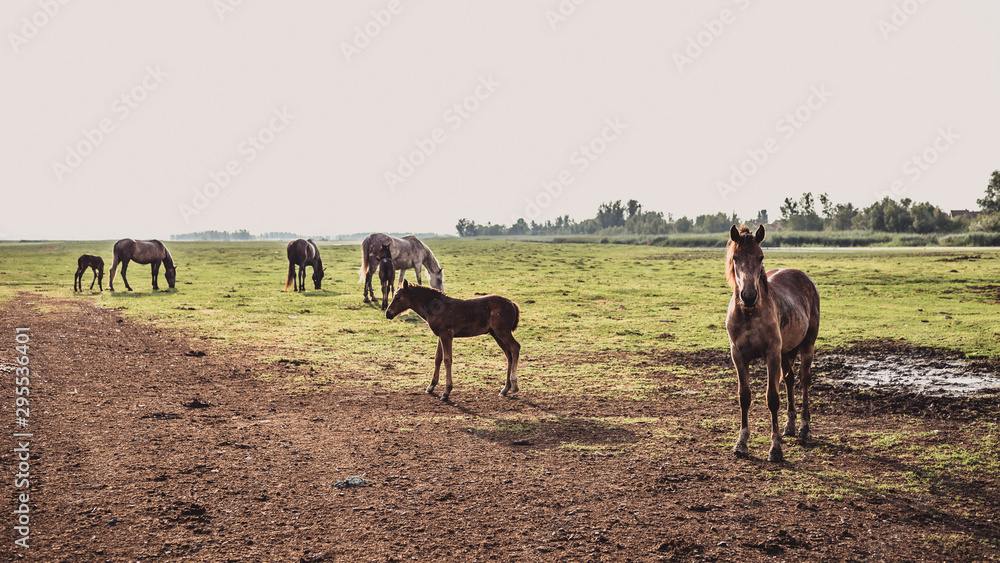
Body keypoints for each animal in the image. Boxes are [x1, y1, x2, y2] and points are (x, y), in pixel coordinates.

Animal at [385, 279, 520, 401]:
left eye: (397, 297)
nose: (388, 313)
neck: (437, 308)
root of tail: (512, 303)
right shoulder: (440, 336)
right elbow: (437, 358)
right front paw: (431, 387)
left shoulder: (447, 335)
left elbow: (447, 360)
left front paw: (446, 392)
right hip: (496, 334)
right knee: (508, 354)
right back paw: (505, 389)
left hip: (502, 332)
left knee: (515, 347)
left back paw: (514, 386)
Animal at [725, 224, 820, 462]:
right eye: (735, 258)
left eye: (760, 256)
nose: (749, 296)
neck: (749, 314)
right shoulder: (738, 356)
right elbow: (744, 397)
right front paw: (741, 443)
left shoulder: (772, 354)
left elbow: (772, 398)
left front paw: (775, 448)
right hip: (786, 352)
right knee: (789, 379)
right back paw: (790, 426)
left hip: (807, 346)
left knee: (804, 380)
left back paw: (804, 428)